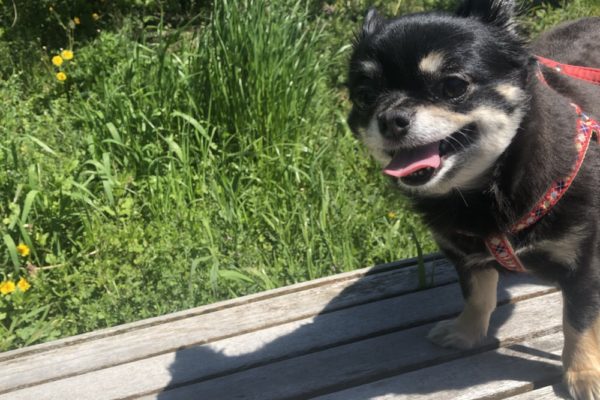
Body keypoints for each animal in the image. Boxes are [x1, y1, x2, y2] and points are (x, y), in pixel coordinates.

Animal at [344, 1, 600, 398]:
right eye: (365, 96)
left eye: (453, 85)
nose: (389, 118)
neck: (481, 192)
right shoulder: (464, 254)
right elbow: (477, 292)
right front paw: (466, 332)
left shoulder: (584, 263)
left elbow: (579, 320)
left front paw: (583, 373)